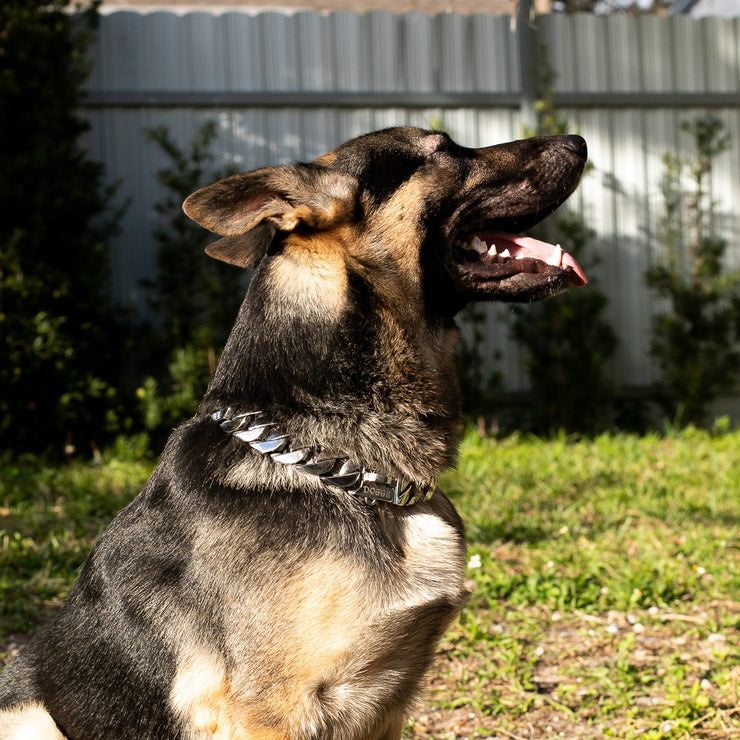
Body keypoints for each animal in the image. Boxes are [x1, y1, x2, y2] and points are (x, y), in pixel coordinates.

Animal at [1, 127, 588, 740]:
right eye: (443, 149)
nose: (579, 141)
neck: (344, 470)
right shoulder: (272, 712)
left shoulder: (387, 709)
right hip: (31, 718)